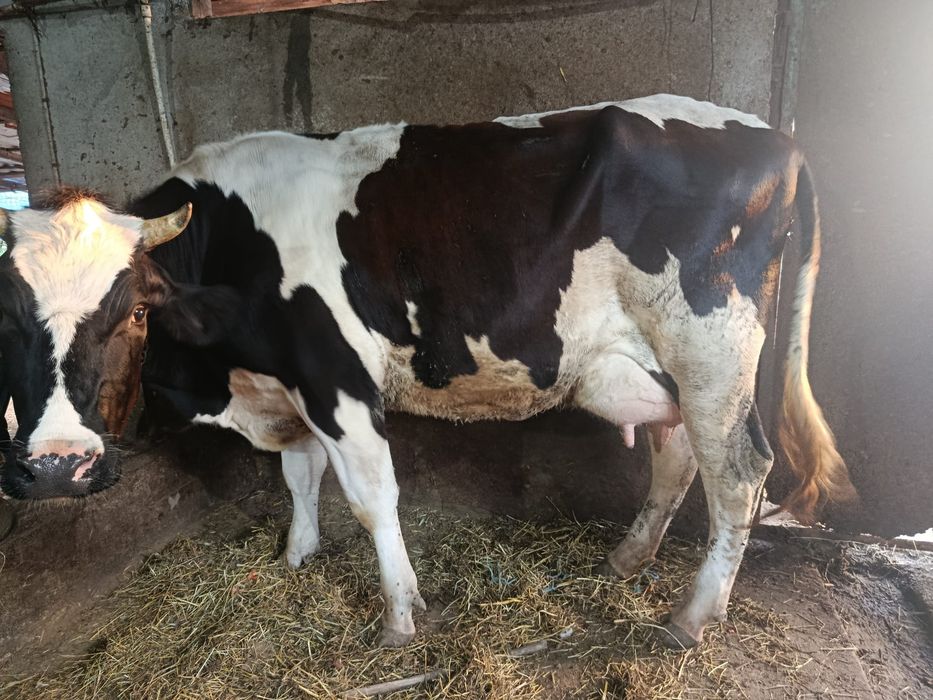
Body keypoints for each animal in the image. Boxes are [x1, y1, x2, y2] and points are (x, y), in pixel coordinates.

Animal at [0, 95, 854, 649]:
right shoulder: (290, 389)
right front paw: (296, 556)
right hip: (656, 364)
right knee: (676, 458)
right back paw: (625, 561)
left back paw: (690, 616)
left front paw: (401, 617)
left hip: (711, 348)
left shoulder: (336, 378)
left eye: (133, 313)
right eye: (6, 315)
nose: (58, 467)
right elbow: (301, 476)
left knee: (738, 473)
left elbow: (372, 498)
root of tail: (774, 137)